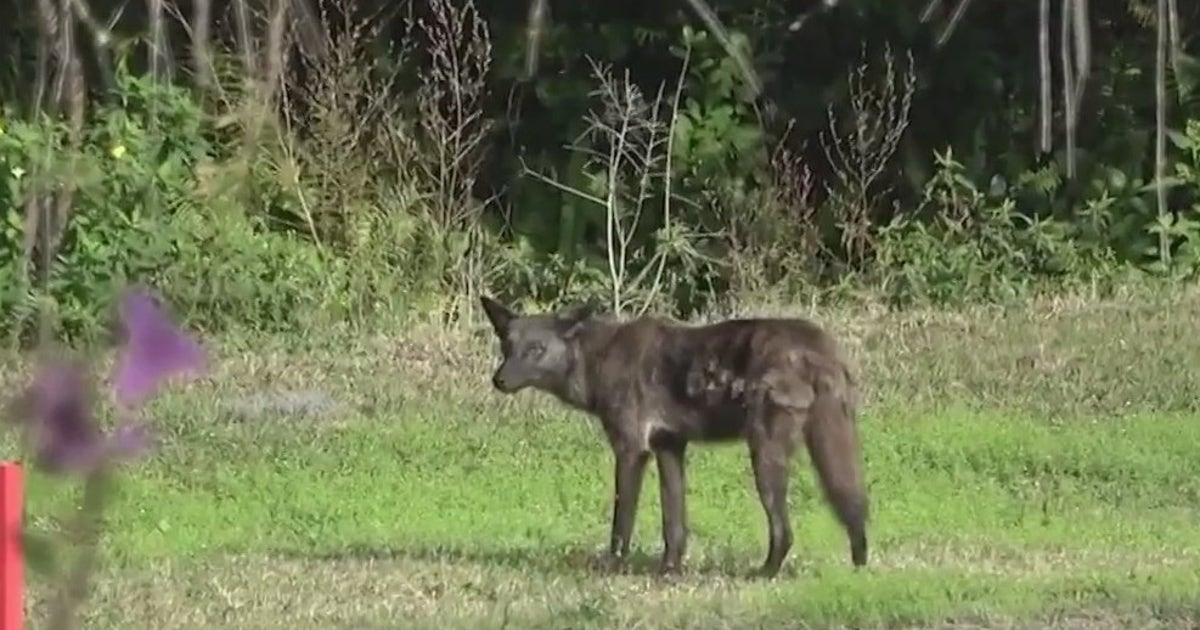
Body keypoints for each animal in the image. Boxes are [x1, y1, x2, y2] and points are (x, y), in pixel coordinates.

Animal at [478, 295, 869, 578]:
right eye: (506, 347)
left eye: (536, 350)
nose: (499, 380)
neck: (600, 361)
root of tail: (821, 349)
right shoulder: (669, 447)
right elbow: (674, 524)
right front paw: (669, 570)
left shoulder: (631, 449)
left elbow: (622, 523)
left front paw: (613, 568)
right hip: (829, 448)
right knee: (857, 507)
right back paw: (858, 568)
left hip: (765, 454)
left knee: (784, 532)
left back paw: (764, 573)